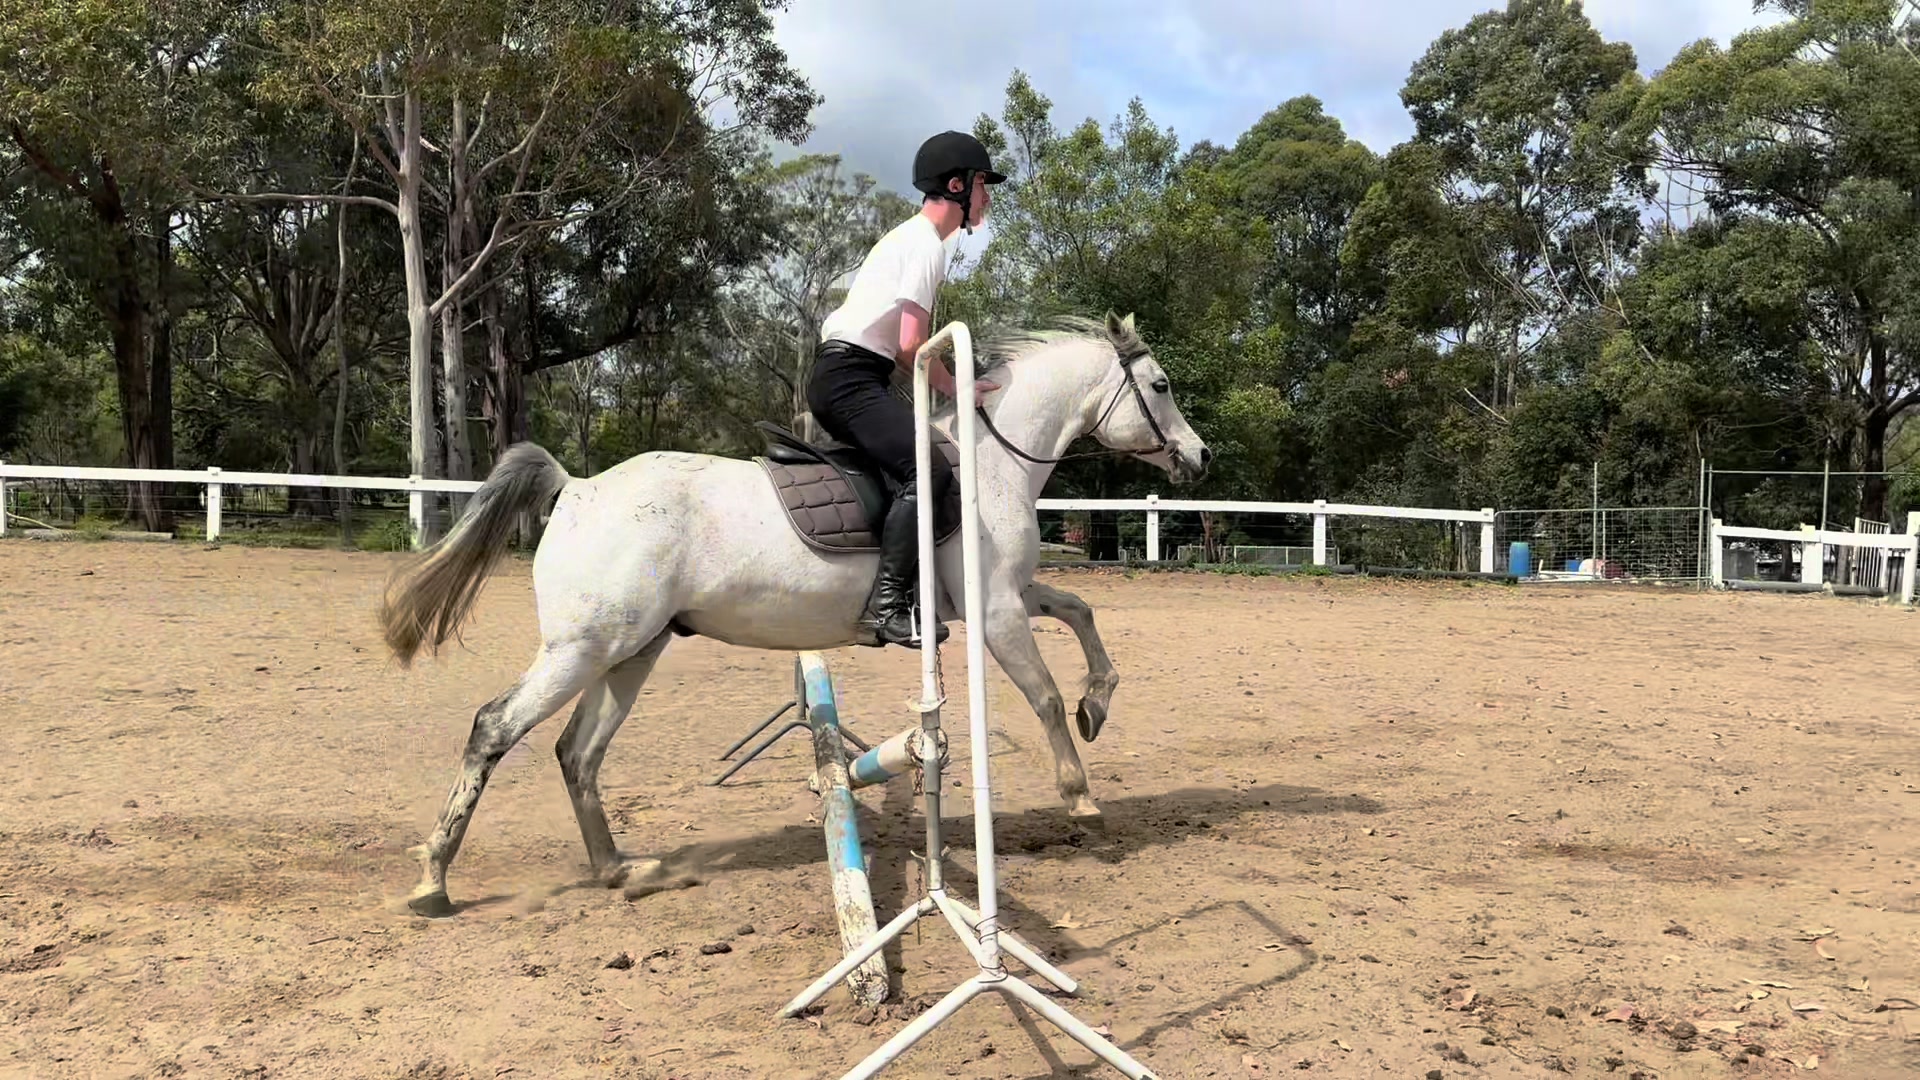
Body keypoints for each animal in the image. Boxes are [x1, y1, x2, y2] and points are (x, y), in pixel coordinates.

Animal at [377, 312, 1210, 916]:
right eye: (1162, 385)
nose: (1200, 459)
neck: (991, 464)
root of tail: (577, 488)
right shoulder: (998, 613)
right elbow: (1042, 694)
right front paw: (1081, 795)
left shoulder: (1006, 597)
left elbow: (1081, 610)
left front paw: (1098, 703)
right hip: (581, 650)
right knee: (495, 728)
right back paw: (434, 881)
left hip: (630, 651)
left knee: (578, 754)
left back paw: (620, 869)